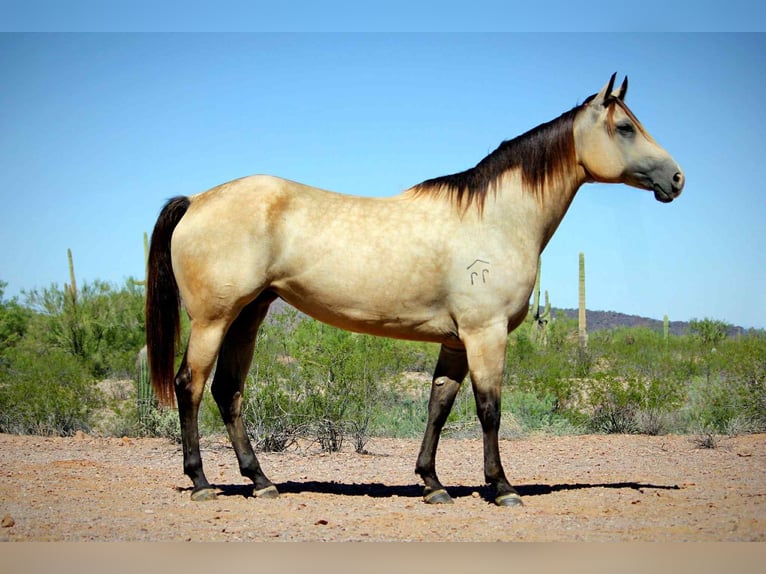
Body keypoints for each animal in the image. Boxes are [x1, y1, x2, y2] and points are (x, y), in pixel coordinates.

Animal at [145, 74, 684, 507]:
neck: (496, 218)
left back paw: (261, 481)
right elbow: (489, 410)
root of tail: (197, 200)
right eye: (625, 127)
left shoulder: (456, 341)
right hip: (213, 320)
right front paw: (502, 488)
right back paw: (202, 482)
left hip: (248, 315)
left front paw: (432, 484)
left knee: (228, 390)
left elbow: (438, 407)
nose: (676, 178)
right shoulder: (485, 335)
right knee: (190, 386)